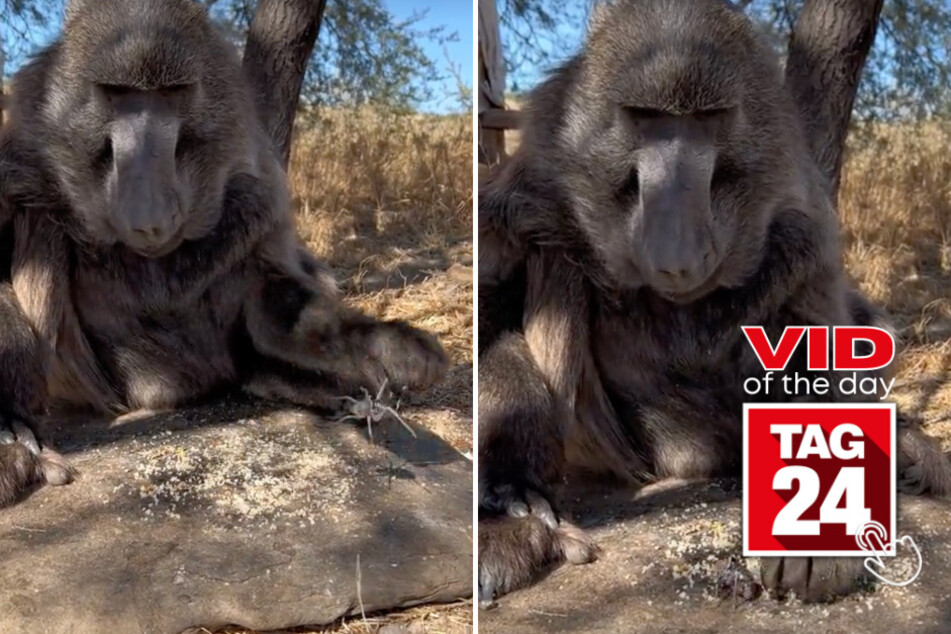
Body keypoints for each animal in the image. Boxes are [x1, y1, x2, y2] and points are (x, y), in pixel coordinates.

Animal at [0, 0, 448, 507]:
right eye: (117, 94)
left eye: (172, 93)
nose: (149, 217)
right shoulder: (25, 173)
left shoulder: (249, 199)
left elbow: (268, 301)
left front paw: (379, 344)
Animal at [477, 0, 951, 604]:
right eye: (646, 118)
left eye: (706, 120)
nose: (676, 253)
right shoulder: (531, 196)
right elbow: (494, 310)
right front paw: (508, 494)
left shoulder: (800, 226)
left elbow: (829, 348)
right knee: (552, 267)